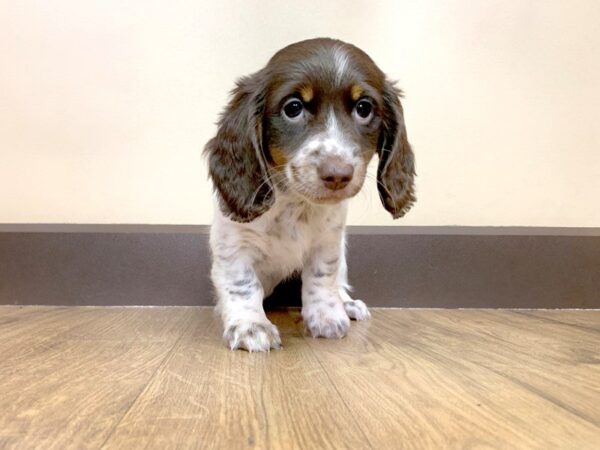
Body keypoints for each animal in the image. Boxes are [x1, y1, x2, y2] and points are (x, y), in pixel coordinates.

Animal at [204, 37, 414, 352]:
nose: (338, 174)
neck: (295, 203)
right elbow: (242, 285)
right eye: (293, 108)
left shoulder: (328, 241)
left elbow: (322, 276)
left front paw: (327, 316)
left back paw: (347, 304)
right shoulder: (234, 244)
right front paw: (250, 325)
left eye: (364, 108)